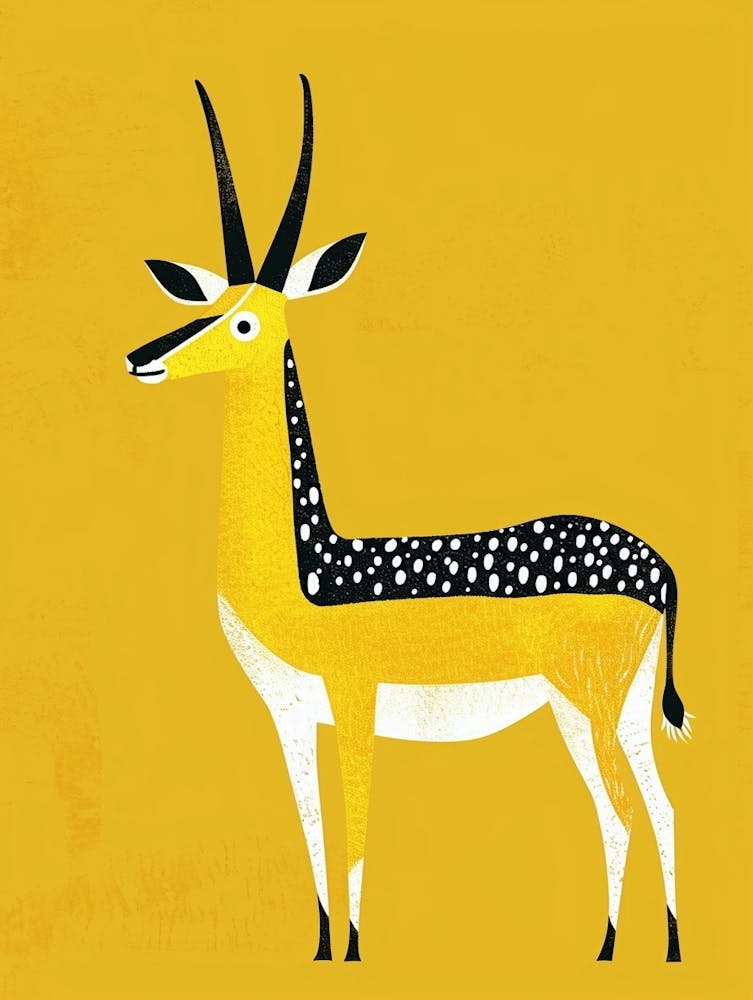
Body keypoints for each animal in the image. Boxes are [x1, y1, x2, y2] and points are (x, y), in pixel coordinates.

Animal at [126, 75, 692, 963]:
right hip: (599, 708)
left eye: (245, 321)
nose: (142, 357)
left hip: (592, 701)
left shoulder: (354, 699)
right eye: (206, 301)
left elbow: (355, 831)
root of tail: (661, 569)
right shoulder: (291, 715)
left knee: (627, 808)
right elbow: (312, 831)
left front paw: (356, 953)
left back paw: (619, 952)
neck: (312, 573)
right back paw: (642, 947)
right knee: (650, 806)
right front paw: (320, 951)